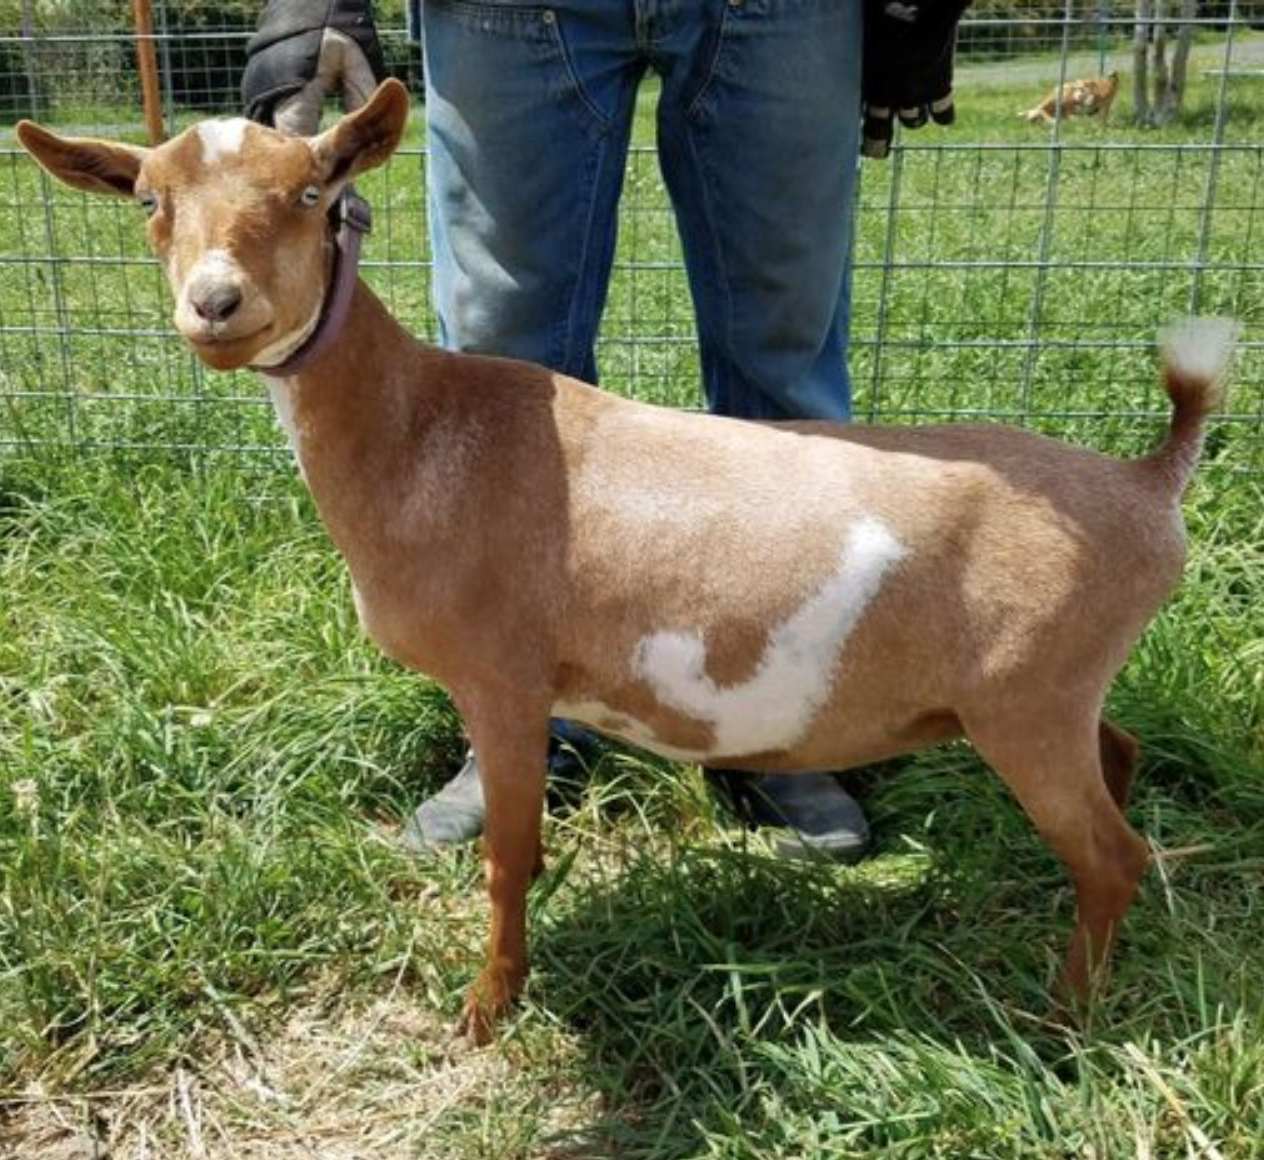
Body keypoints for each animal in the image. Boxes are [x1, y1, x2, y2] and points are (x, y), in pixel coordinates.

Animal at [18, 79, 1236, 1043]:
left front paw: (487, 1008)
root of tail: (1146, 483)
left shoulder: (503, 678)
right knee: (1120, 764)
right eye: (148, 202)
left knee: (1111, 853)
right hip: (1052, 694)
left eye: (314, 190)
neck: (426, 429)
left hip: (1027, 696)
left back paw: (1062, 1018)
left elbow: (511, 855)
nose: (216, 305)